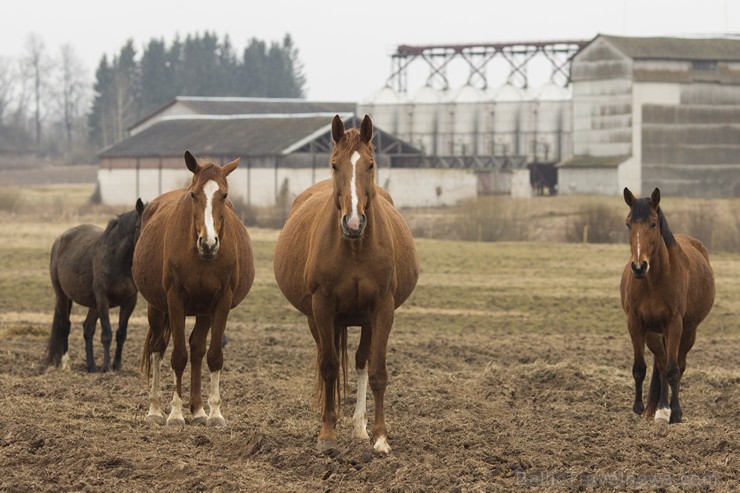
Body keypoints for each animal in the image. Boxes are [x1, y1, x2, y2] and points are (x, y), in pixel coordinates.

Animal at [45, 198, 147, 370]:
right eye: (138, 226)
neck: (117, 259)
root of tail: (60, 240)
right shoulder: (103, 299)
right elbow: (106, 334)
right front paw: (106, 367)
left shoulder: (129, 301)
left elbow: (121, 334)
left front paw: (116, 365)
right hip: (62, 296)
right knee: (65, 325)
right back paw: (65, 363)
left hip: (92, 304)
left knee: (88, 328)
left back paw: (91, 366)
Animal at [134, 151, 256, 426]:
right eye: (193, 195)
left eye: (224, 195)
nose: (208, 243)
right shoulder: (174, 300)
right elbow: (178, 356)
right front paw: (175, 414)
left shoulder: (221, 302)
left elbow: (213, 355)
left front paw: (215, 414)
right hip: (156, 307)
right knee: (157, 347)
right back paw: (155, 409)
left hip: (204, 311)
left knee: (198, 349)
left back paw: (199, 410)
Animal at [274, 115, 422, 454]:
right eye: (334, 165)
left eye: (370, 164)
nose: (353, 223)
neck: (354, 247)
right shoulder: (322, 307)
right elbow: (329, 366)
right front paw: (327, 434)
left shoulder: (382, 309)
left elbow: (377, 371)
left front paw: (380, 437)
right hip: (315, 319)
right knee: (324, 359)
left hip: (365, 320)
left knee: (361, 363)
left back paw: (359, 427)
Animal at [620, 188, 712, 422]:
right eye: (628, 224)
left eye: (653, 224)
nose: (639, 266)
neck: (653, 281)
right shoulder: (636, 323)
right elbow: (640, 367)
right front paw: (639, 408)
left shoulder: (674, 324)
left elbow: (673, 370)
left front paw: (676, 412)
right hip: (654, 334)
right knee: (660, 364)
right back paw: (659, 409)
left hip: (687, 332)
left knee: (678, 365)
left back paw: (668, 409)